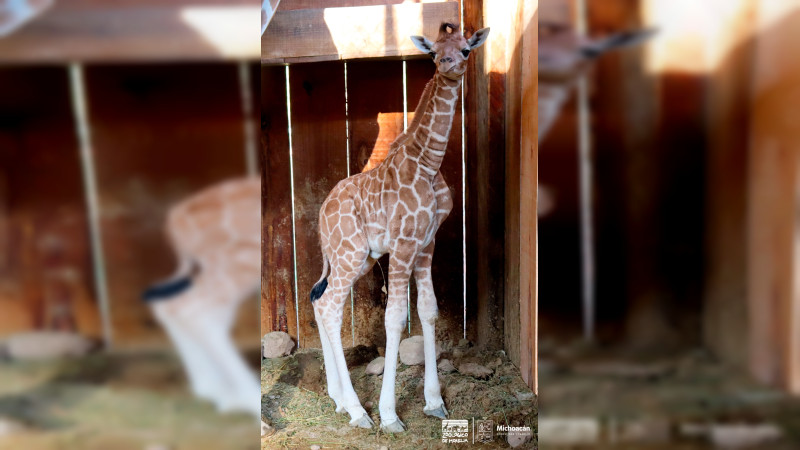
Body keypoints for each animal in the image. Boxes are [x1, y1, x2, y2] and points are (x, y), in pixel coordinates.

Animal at [142, 176, 261, 420]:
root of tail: (174, 222)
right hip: (237, 264)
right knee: (195, 310)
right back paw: (247, 400)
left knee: (169, 304)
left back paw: (215, 390)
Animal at [309, 23, 489, 432]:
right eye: (433, 51)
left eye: (466, 49)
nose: (447, 64)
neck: (428, 162)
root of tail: (321, 216)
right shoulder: (405, 243)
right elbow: (395, 319)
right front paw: (390, 415)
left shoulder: (426, 242)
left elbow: (428, 310)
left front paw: (435, 402)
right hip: (350, 254)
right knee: (329, 305)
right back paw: (357, 410)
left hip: (356, 258)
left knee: (320, 301)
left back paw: (339, 399)